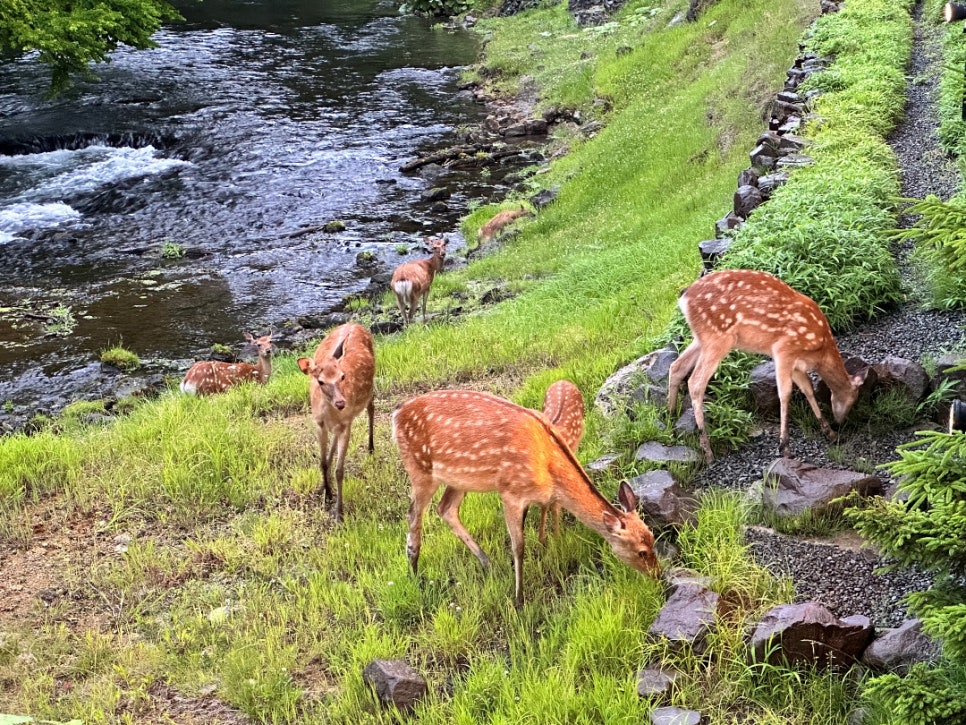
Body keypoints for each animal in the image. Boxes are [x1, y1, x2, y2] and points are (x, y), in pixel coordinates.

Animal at [298, 322, 378, 520]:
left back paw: (371, 448)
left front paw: (339, 512)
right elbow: (323, 462)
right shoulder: (319, 424)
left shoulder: (346, 424)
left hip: (369, 389)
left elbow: (339, 470)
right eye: (320, 381)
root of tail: (354, 323)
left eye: (342, 376)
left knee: (371, 407)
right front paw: (327, 495)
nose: (341, 402)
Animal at [668, 268, 864, 464]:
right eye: (853, 399)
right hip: (717, 337)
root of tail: (684, 296)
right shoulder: (784, 350)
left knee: (676, 366)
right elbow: (785, 393)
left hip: (701, 338)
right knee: (695, 382)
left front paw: (829, 432)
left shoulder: (797, 365)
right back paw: (707, 451)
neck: (819, 352)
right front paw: (785, 447)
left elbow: (808, 389)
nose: (840, 421)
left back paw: (670, 416)